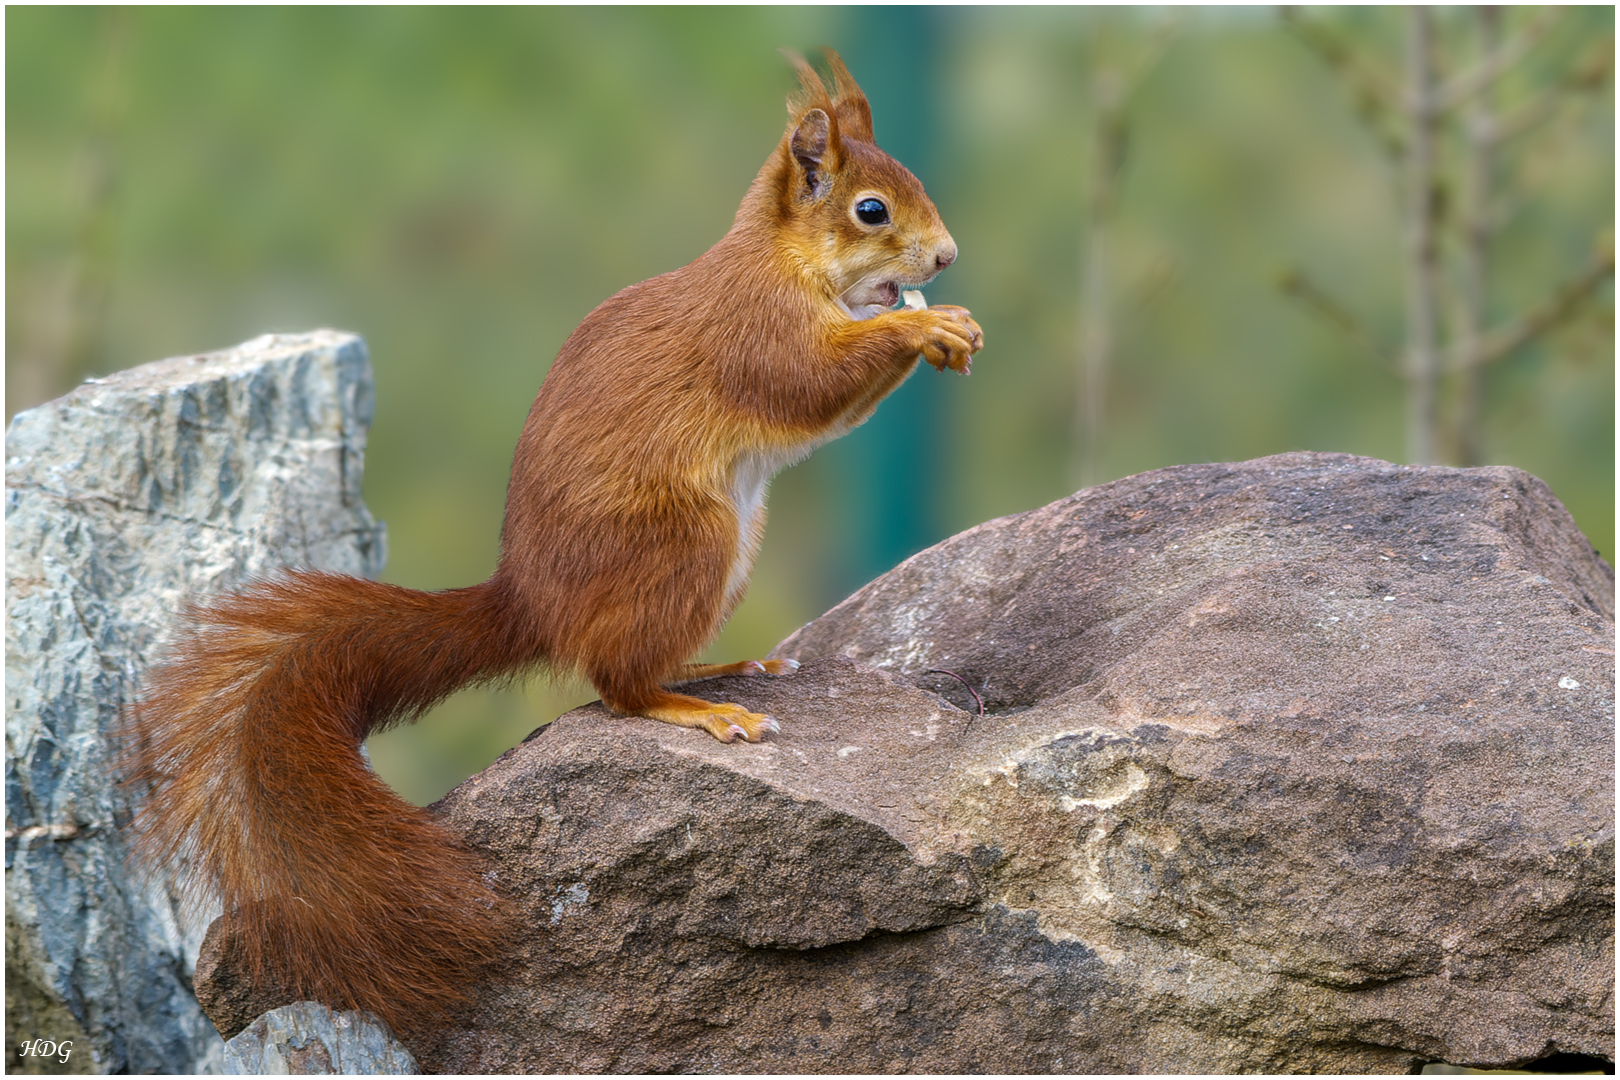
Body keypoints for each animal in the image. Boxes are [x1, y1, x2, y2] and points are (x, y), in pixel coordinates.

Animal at [126, 52, 978, 1036]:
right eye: (871, 210)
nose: (947, 258)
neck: (787, 265)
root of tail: (532, 601)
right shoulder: (754, 332)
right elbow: (808, 382)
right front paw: (926, 324)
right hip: (686, 541)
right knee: (615, 686)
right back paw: (698, 709)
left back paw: (721, 668)